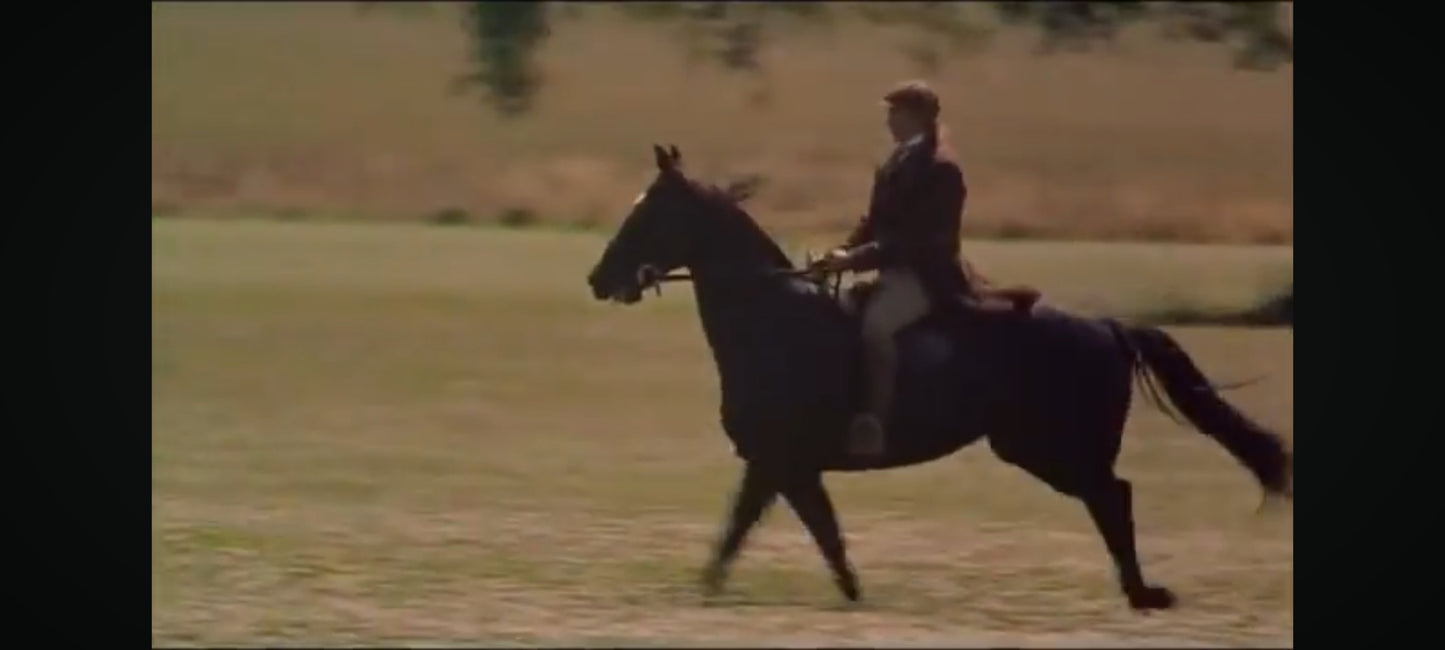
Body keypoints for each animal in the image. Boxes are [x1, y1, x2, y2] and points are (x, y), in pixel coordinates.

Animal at [584, 144, 1292, 611]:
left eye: (651, 213)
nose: (598, 279)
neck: (774, 322)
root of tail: (1106, 327)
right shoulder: (786, 466)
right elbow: (810, 534)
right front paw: (849, 595)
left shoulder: (777, 460)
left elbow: (746, 531)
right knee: (1110, 498)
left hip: (1052, 450)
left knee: (1112, 496)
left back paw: (1144, 593)